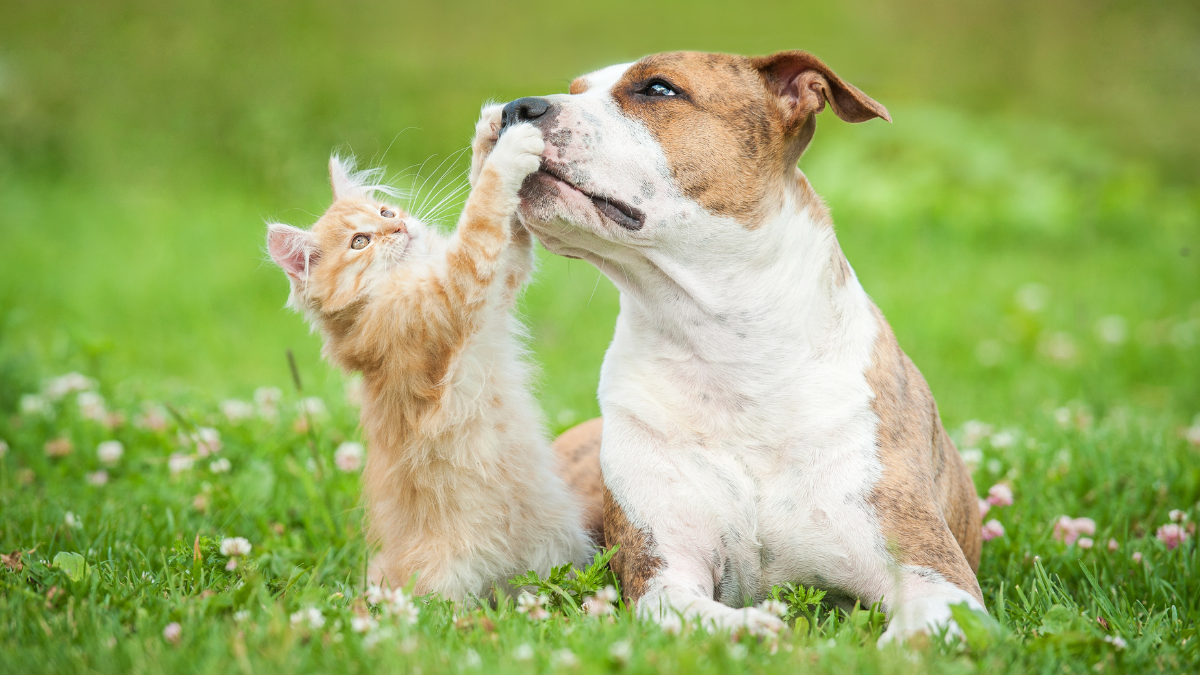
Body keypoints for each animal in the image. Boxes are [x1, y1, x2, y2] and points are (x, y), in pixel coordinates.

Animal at [266, 111, 595, 598]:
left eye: (385, 212)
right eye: (360, 242)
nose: (399, 227)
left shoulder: (498, 284)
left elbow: (504, 230)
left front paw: (489, 134)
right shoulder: (450, 295)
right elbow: (480, 214)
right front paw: (510, 149)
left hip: (560, 548)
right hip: (443, 583)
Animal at [506, 48, 984, 638]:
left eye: (658, 89)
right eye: (575, 89)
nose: (514, 107)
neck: (728, 351)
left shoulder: (935, 576)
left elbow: (917, 630)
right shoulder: (664, 572)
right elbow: (704, 615)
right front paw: (763, 630)